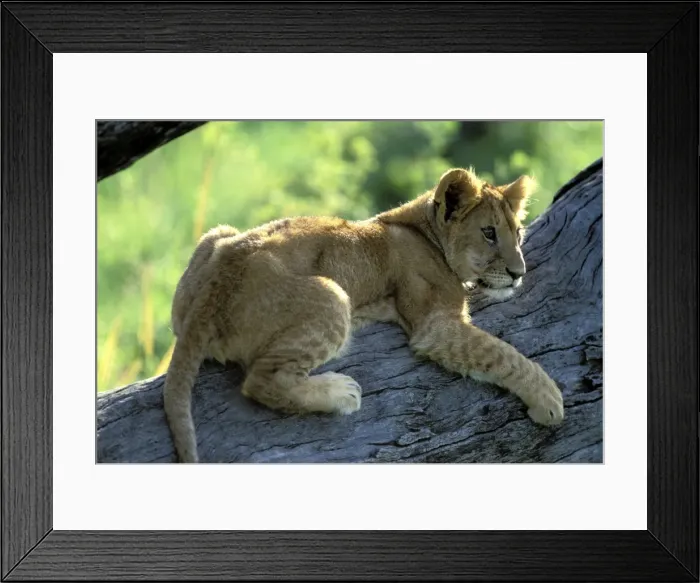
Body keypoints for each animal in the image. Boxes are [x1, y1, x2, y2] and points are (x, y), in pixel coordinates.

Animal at [163, 167, 565, 463]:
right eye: (489, 233)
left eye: (518, 232)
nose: (519, 273)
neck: (423, 231)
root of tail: (212, 292)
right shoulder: (433, 324)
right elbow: (501, 353)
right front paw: (548, 399)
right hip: (331, 296)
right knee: (261, 381)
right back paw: (341, 393)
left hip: (217, 235)